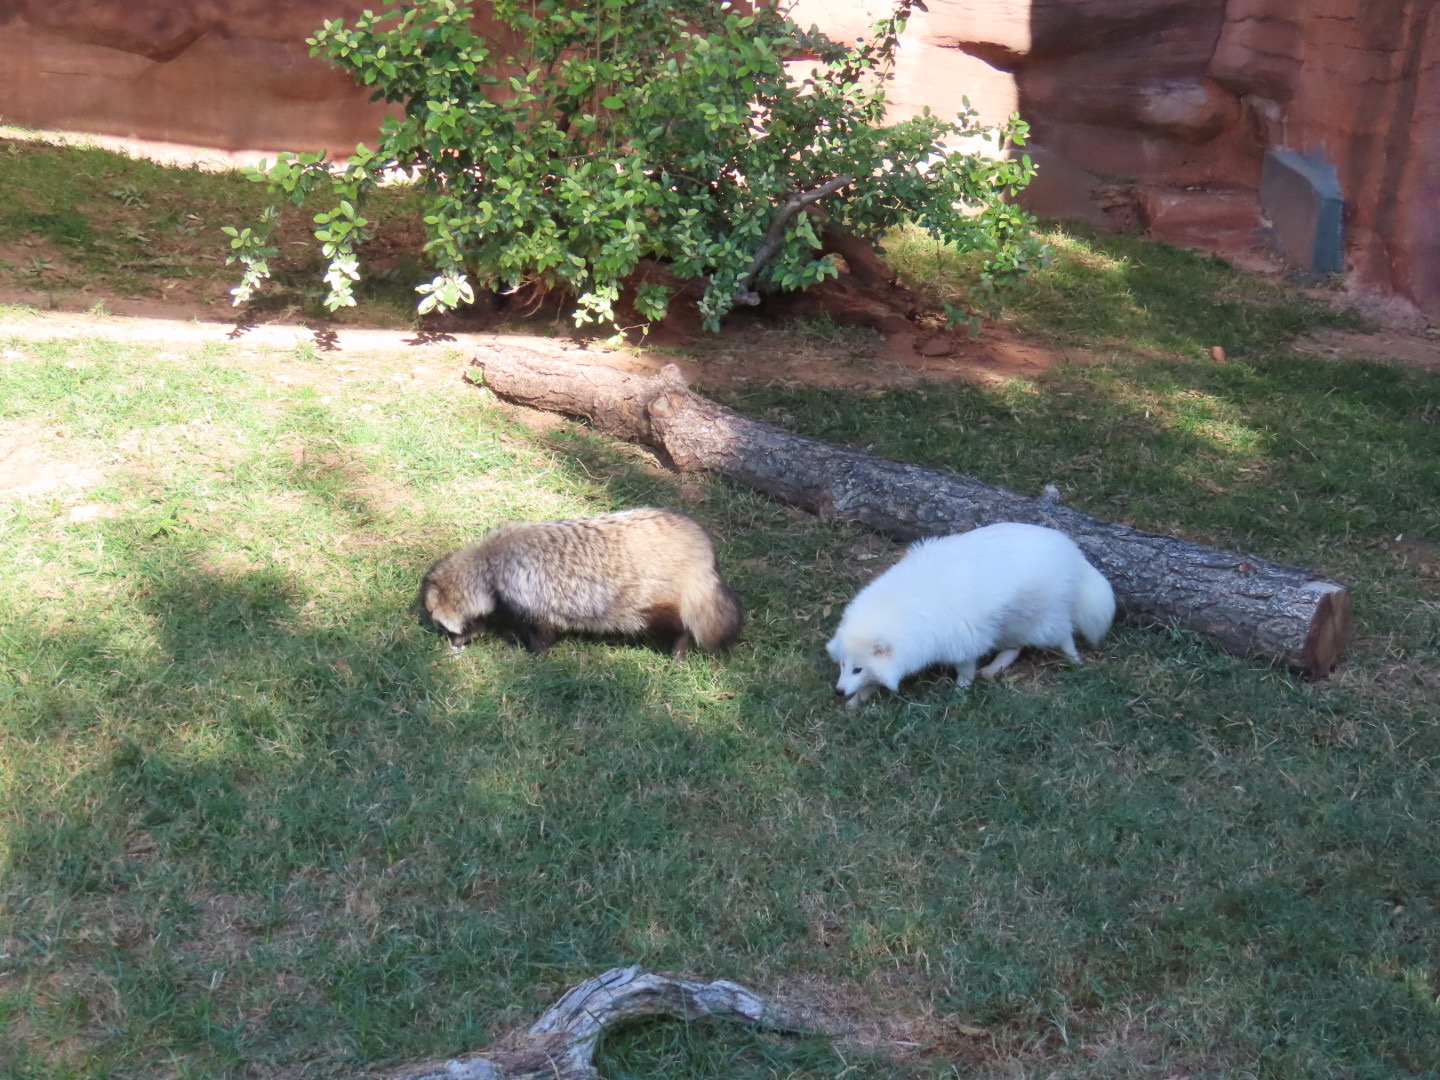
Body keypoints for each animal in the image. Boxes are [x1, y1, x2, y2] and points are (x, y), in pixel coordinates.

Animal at [420, 508, 743, 658]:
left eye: (442, 625)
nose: (454, 644)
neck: (490, 566)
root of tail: (701, 550)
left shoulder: (532, 599)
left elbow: (542, 634)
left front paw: (533, 653)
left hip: (655, 598)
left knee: (681, 623)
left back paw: (678, 648)